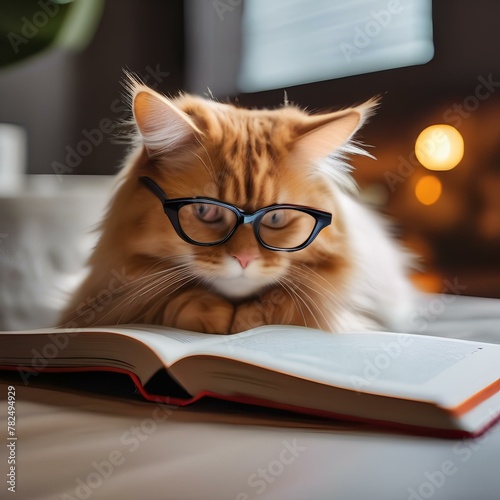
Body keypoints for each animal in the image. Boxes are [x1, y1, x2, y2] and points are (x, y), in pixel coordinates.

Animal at [60, 77, 416, 332]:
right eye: (205, 211)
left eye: (276, 219)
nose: (244, 259)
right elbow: (169, 300)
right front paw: (213, 315)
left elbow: (283, 305)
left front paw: (248, 320)